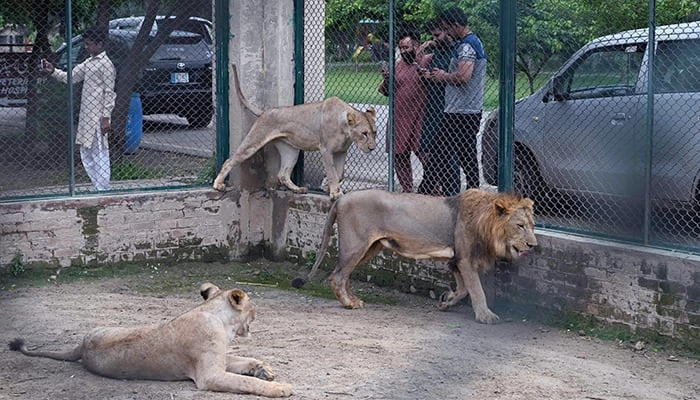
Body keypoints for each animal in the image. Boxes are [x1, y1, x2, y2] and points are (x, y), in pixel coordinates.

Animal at [8, 282, 292, 398]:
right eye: (253, 305)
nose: (257, 312)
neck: (219, 319)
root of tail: (82, 345)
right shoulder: (208, 375)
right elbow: (246, 382)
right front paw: (280, 388)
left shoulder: (220, 359)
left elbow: (242, 360)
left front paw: (263, 369)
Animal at [213, 65, 378, 200]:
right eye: (364, 133)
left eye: (375, 132)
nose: (372, 148)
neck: (345, 130)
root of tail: (265, 112)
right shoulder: (325, 149)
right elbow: (332, 172)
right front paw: (334, 192)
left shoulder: (341, 152)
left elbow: (340, 173)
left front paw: (329, 188)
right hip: (253, 141)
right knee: (230, 160)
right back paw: (218, 184)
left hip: (291, 150)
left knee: (282, 174)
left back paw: (298, 189)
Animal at [292, 189, 540, 324]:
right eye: (520, 226)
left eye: (532, 225)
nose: (533, 245)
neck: (485, 223)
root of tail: (341, 199)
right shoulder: (465, 260)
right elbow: (477, 291)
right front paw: (485, 316)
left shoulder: (455, 261)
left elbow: (463, 290)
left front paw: (446, 301)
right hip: (356, 245)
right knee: (337, 277)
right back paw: (350, 304)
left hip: (369, 248)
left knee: (343, 276)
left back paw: (353, 299)